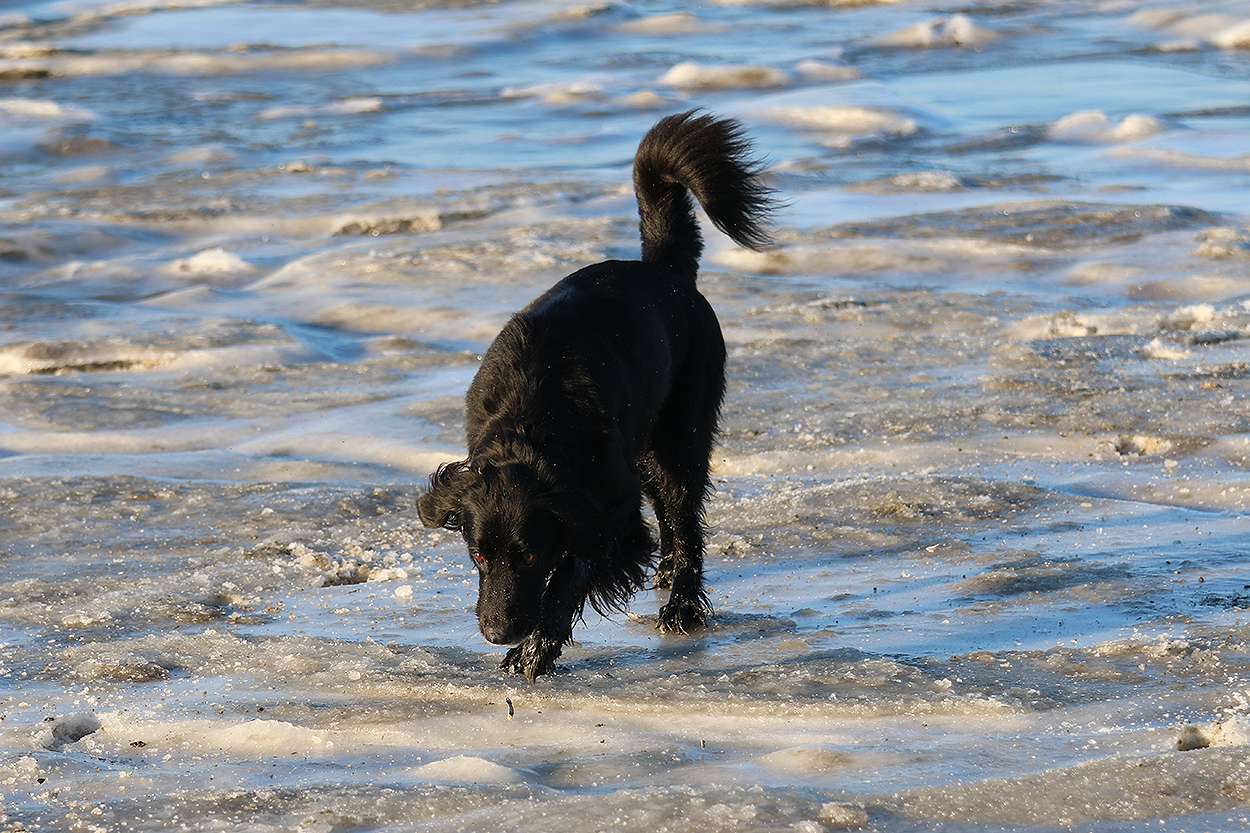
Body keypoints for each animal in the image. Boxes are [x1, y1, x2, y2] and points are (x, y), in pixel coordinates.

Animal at [417, 111, 775, 681]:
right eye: (477, 556)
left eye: (530, 556)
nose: (497, 633)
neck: (529, 423)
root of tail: (663, 269)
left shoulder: (610, 510)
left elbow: (571, 576)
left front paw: (533, 652)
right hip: (644, 446)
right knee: (669, 510)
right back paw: (666, 573)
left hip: (681, 433)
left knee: (685, 512)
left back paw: (682, 606)